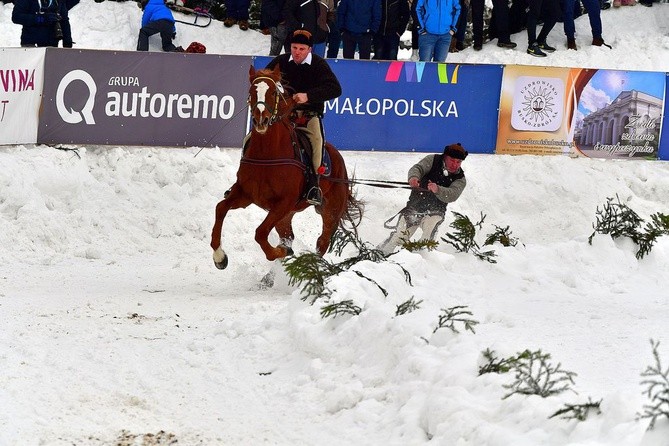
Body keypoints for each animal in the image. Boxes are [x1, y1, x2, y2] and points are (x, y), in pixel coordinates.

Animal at [211, 65, 362, 270]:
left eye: (273, 92)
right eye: (251, 91)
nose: (261, 120)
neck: (267, 155)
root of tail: (339, 160)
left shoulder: (283, 203)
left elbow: (260, 233)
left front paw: (279, 252)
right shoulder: (245, 194)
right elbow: (220, 209)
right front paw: (219, 257)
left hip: (330, 212)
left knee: (322, 241)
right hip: (286, 216)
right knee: (288, 235)